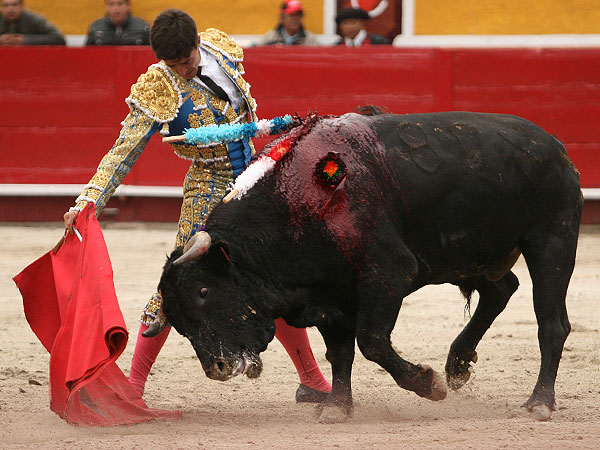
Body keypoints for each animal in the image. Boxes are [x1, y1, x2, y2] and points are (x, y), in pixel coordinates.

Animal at [158, 111, 580, 422]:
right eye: (177, 322)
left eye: (203, 291)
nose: (217, 367)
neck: (297, 202)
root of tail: (555, 147)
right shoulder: (328, 295)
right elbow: (340, 352)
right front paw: (337, 408)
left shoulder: (389, 273)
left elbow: (372, 342)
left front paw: (428, 385)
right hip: (472, 257)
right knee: (501, 289)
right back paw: (458, 364)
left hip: (551, 242)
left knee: (551, 324)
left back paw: (538, 403)